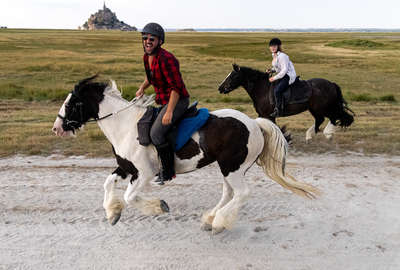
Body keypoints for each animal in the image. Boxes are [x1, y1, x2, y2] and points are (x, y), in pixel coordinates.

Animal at [52, 76, 318, 234]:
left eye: (73, 103)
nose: (56, 128)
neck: (126, 126)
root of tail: (254, 123)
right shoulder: (126, 168)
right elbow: (108, 183)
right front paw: (112, 213)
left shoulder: (144, 173)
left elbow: (130, 197)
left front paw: (158, 206)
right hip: (229, 167)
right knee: (229, 193)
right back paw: (210, 218)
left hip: (232, 167)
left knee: (242, 193)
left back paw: (219, 222)